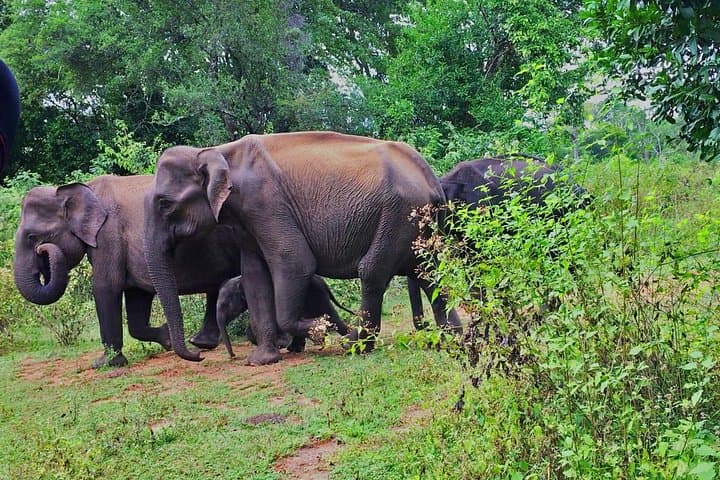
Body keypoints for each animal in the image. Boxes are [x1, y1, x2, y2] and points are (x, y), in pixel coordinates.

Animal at [13, 175, 243, 367]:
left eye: (32, 237)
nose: (43, 250)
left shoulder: (109, 236)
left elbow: (106, 288)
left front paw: (104, 364)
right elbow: (136, 295)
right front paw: (167, 338)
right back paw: (200, 343)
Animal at [216, 275, 353, 358]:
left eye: (225, 304)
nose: (233, 356)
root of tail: (324, 282)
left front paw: (280, 344)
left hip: (316, 295)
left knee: (332, 317)